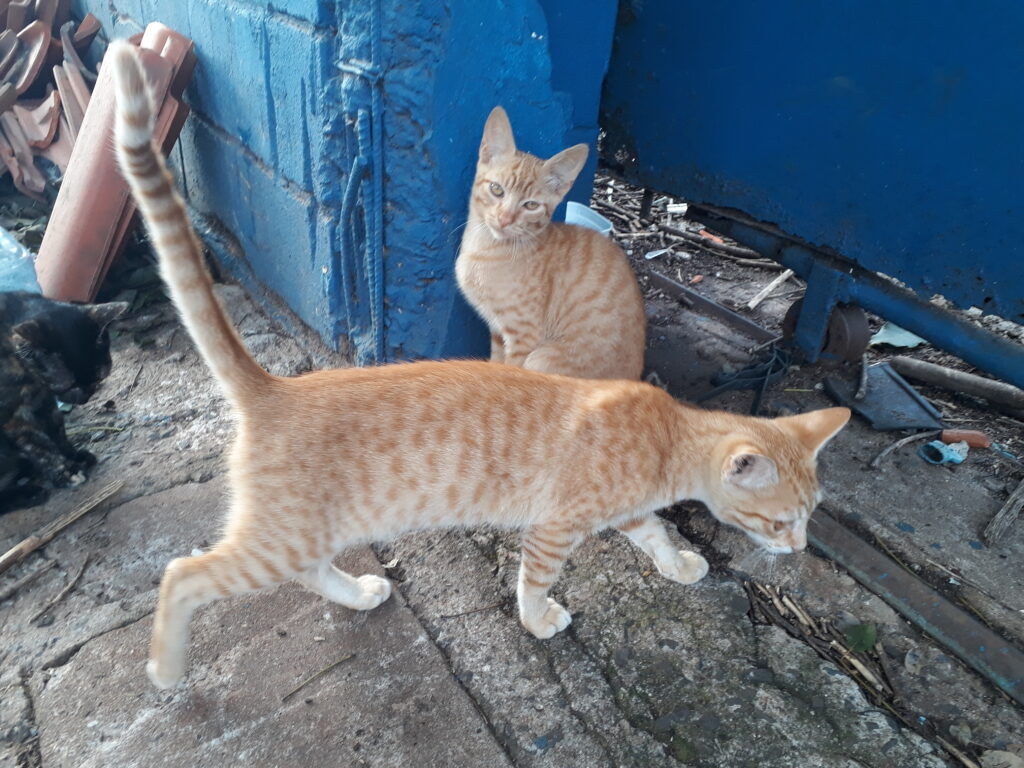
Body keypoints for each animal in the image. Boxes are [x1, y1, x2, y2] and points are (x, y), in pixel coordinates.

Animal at [0, 292, 125, 512]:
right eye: (70, 385)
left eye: (98, 379)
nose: (85, 398)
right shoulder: (15, 419)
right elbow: (41, 447)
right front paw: (67, 472)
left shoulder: (45, 401)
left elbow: (57, 431)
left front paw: (73, 455)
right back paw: (28, 493)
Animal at [458, 107, 647, 382]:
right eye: (496, 189)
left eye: (531, 205)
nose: (504, 219)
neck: (484, 248)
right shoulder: (497, 330)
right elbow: (495, 364)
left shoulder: (523, 336)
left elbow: (507, 375)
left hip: (541, 357)